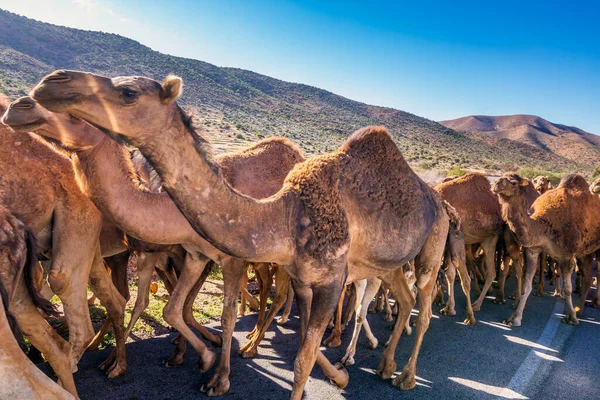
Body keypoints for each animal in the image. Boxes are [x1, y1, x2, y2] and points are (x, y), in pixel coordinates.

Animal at [490, 173, 600, 326]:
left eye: (513, 182)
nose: (496, 183)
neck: (543, 225)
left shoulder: (566, 256)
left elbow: (567, 289)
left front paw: (571, 318)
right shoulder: (532, 250)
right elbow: (526, 286)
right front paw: (515, 318)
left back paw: (580, 310)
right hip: (586, 252)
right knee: (589, 278)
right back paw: (579, 309)